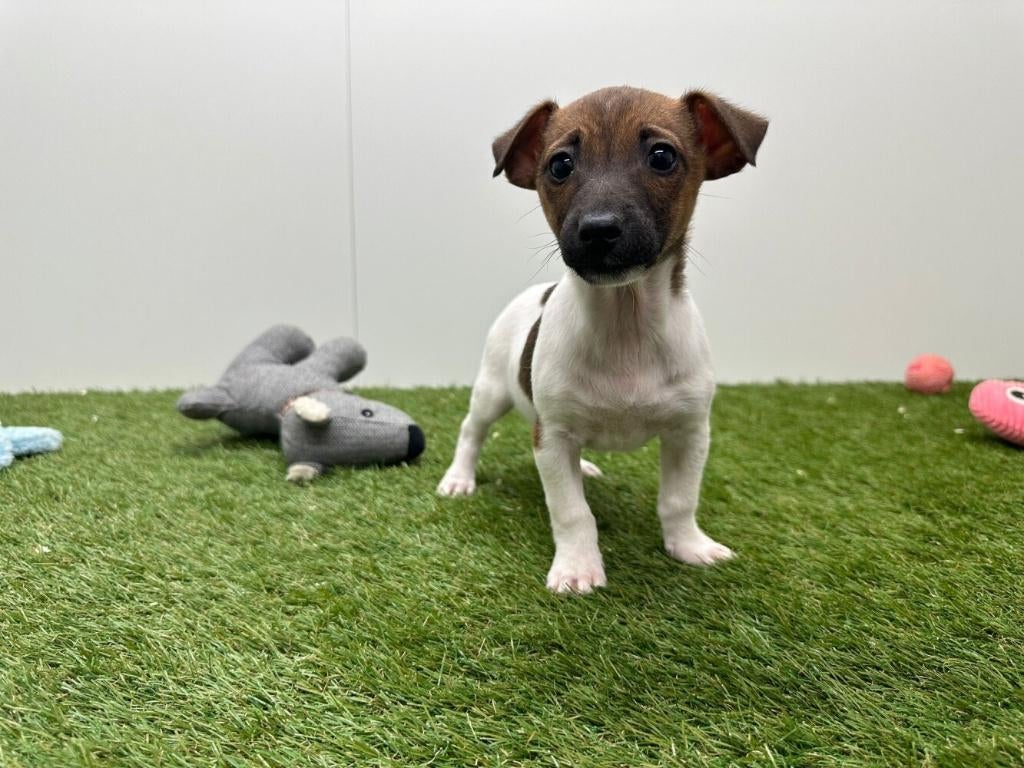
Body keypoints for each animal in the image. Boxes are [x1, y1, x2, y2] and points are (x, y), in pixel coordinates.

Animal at [437, 86, 768, 593]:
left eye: (662, 157)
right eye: (560, 165)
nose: (597, 228)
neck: (623, 324)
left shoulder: (690, 431)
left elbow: (679, 500)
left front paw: (688, 546)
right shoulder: (552, 436)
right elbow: (571, 511)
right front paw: (577, 566)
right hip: (492, 390)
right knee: (471, 431)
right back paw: (459, 478)